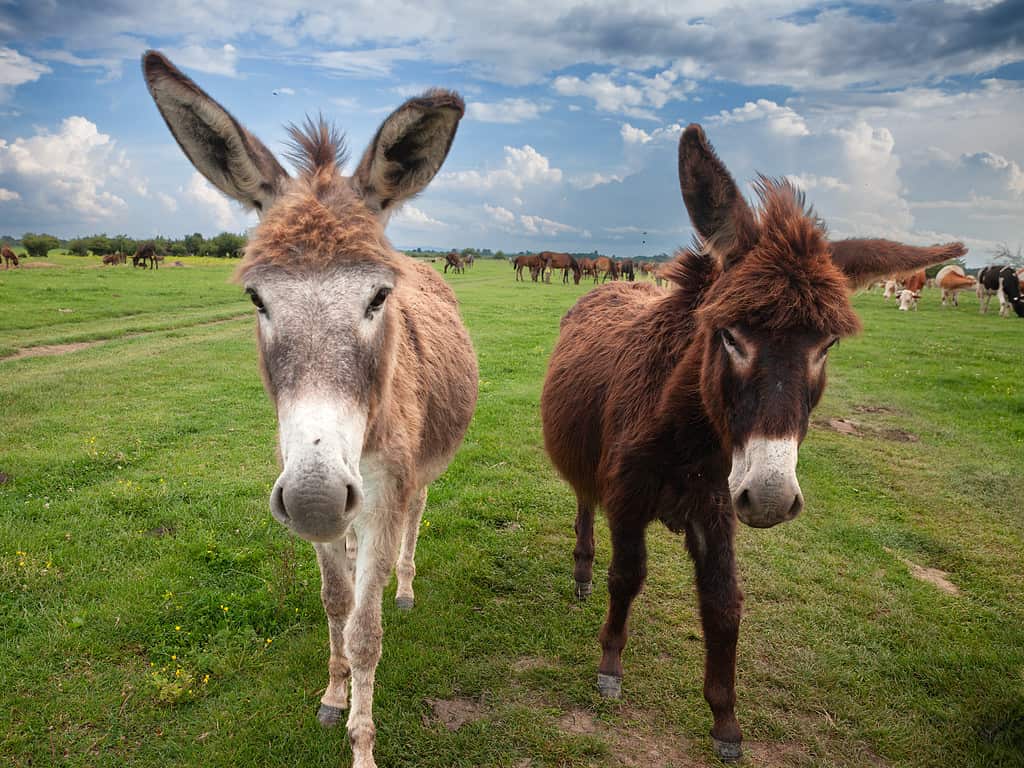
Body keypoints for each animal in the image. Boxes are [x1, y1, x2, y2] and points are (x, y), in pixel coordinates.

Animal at [144, 49, 479, 768]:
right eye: (256, 299)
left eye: (379, 296)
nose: (318, 500)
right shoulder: (315, 491)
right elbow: (335, 603)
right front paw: (333, 693)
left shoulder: (381, 491)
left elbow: (365, 629)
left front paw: (362, 744)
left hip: (418, 475)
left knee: (415, 520)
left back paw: (404, 587)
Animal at [540, 124, 962, 765]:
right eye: (730, 336)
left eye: (826, 345)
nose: (768, 497)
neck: (689, 438)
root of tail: (611, 282)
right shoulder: (629, 496)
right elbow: (627, 576)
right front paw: (610, 664)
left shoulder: (717, 506)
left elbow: (723, 604)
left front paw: (726, 721)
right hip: (591, 467)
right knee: (585, 501)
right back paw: (583, 570)